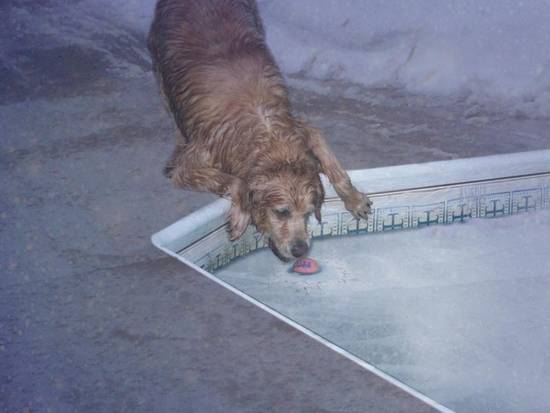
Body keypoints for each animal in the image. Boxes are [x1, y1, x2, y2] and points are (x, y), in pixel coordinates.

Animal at [149, 0, 374, 260]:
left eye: (308, 212)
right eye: (282, 212)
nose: (300, 251)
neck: (268, 135)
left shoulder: (302, 127)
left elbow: (332, 163)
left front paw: (354, 199)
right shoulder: (190, 164)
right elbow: (237, 182)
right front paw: (240, 217)